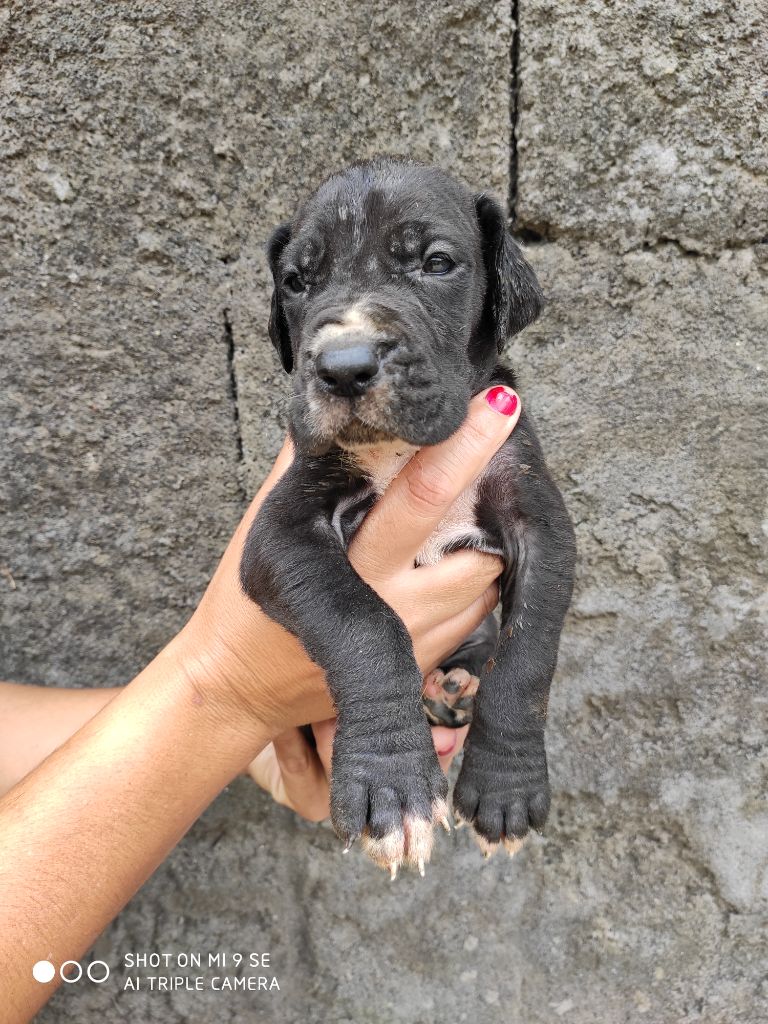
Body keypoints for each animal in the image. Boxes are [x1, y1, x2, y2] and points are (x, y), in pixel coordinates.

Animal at [240, 156, 576, 877]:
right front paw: (390, 783)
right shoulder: (281, 535)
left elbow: (526, 658)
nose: (343, 367)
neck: (399, 450)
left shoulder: (540, 526)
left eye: (436, 263)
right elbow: (364, 624)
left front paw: (506, 786)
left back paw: (456, 683)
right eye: (296, 281)